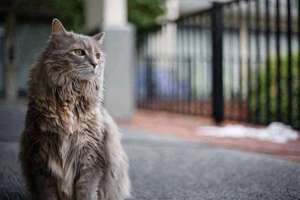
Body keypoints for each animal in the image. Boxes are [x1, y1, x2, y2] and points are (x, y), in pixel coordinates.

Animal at [19, 18, 130, 200]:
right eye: (79, 52)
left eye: (98, 55)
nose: (95, 64)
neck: (70, 99)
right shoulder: (40, 153)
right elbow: (47, 193)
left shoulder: (90, 154)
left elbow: (87, 191)